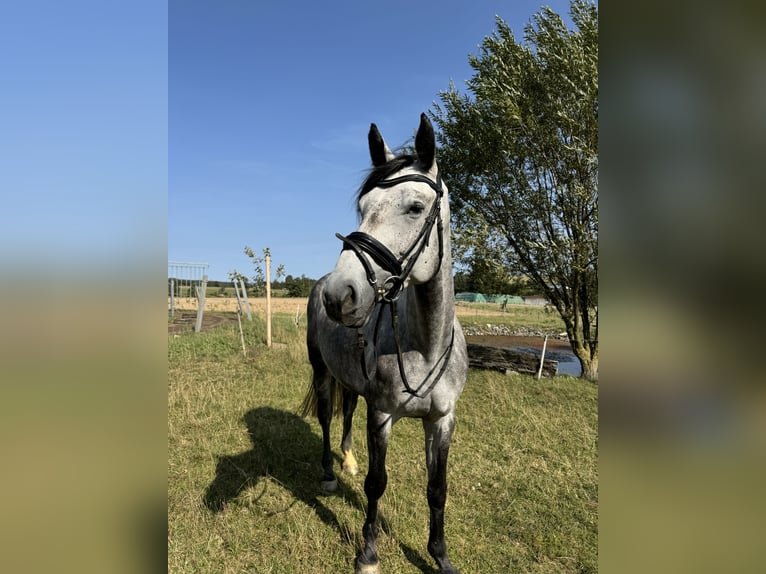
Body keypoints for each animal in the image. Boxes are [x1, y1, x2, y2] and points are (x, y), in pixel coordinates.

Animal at [304, 115, 472, 572]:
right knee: (326, 418)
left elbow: (437, 487)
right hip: (321, 372)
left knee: (345, 414)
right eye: (362, 209)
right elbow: (376, 483)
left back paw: (346, 459)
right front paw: (368, 553)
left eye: (415, 208)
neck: (425, 345)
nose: (339, 296)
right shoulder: (381, 415)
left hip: (351, 384)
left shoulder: (442, 420)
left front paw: (440, 555)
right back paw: (329, 473)